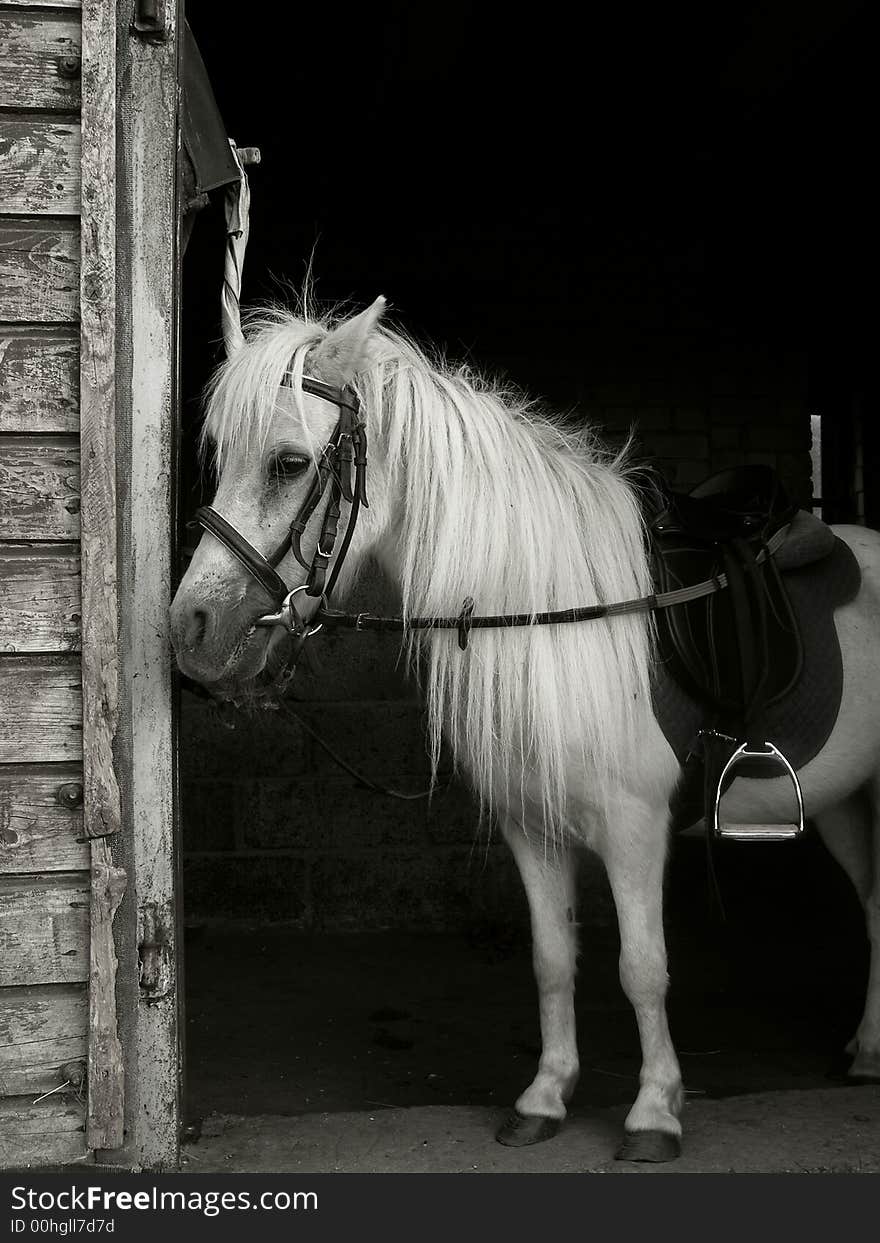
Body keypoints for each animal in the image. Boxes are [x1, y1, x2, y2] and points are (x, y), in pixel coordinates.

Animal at [171, 295, 879, 1158]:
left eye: (288, 463)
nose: (191, 627)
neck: (556, 610)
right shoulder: (529, 825)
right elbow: (550, 959)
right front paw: (545, 1095)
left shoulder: (634, 828)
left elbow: (643, 967)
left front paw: (654, 1109)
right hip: (845, 799)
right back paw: (866, 1048)